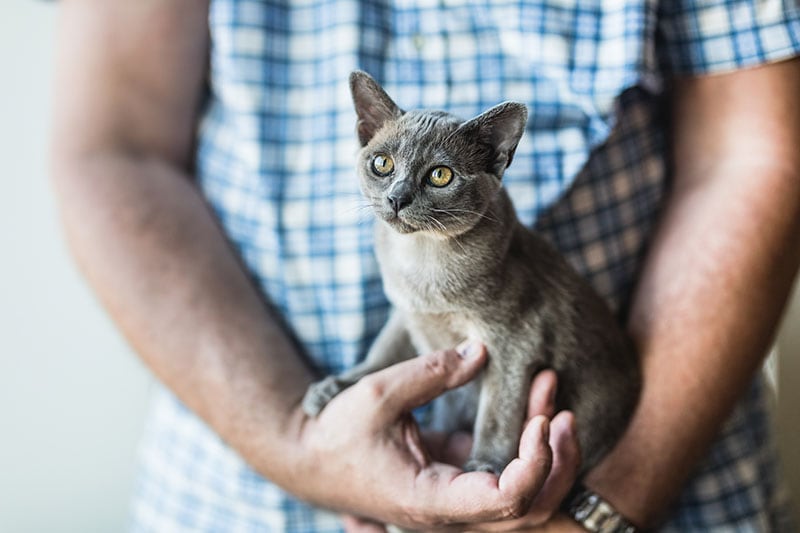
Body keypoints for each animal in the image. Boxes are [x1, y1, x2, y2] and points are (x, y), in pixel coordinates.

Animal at [304, 70, 640, 474]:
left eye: (440, 175)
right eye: (382, 164)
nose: (397, 198)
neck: (422, 265)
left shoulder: (515, 341)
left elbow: (497, 412)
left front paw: (486, 466)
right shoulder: (406, 314)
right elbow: (380, 357)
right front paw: (337, 387)